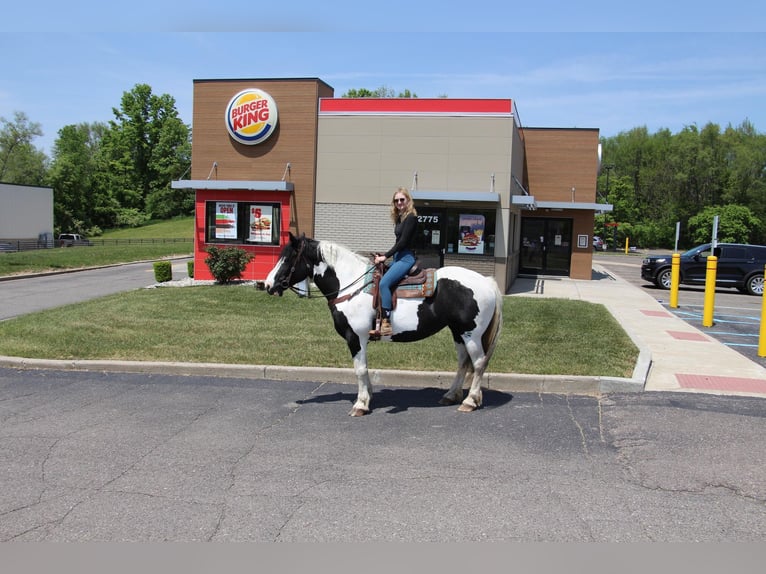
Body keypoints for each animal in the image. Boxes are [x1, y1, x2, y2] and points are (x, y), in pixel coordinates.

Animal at [264, 234, 504, 418]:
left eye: (288, 258)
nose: (267, 285)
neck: (349, 285)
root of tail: (487, 282)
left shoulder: (355, 337)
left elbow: (360, 369)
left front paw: (360, 404)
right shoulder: (361, 340)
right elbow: (364, 368)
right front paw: (368, 396)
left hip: (471, 333)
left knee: (479, 363)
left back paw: (470, 401)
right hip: (458, 331)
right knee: (463, 362)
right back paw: (451, 395)